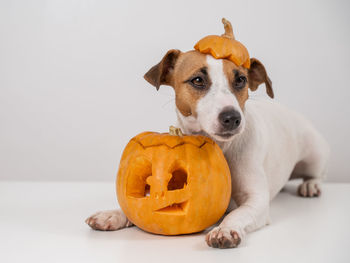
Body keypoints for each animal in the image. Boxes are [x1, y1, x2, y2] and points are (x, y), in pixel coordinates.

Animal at [86, 48, 330, 250]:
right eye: (198, 80)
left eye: (240, 80)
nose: (232, 117)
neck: (222, 147)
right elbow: (138, 204)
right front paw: (112, 214)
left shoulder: (257, 201)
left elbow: (237, 214)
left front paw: (225, 229)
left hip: (313, 154)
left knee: (317, 173)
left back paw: (311, 185)